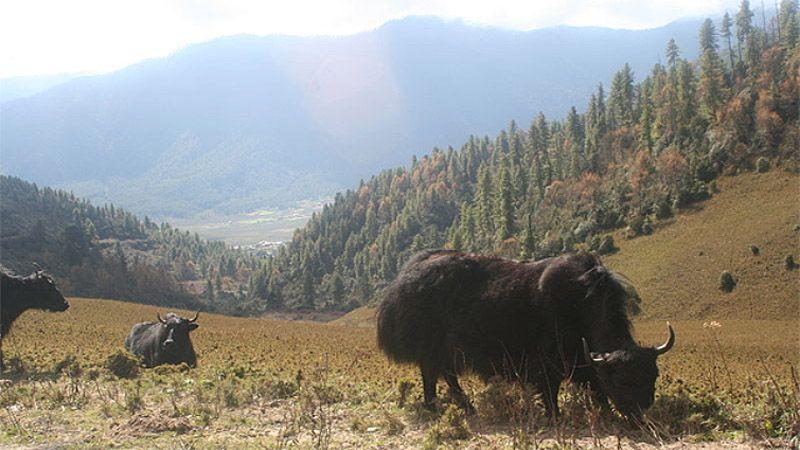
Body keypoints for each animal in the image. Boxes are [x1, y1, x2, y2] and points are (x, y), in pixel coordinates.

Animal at [376, 250, 676, 418]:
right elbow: (551, 390)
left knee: (446, 374)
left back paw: (467, 407)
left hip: (448, 350)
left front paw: (605, 412)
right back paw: (434, 407)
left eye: (653, 376)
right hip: (433, 345)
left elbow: (595, 386)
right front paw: (554, 416)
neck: (581, 303)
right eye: (622, 381)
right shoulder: (547, 362)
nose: (640, 416)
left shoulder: (584, 361)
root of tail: (402, 281)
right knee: (431, 374)